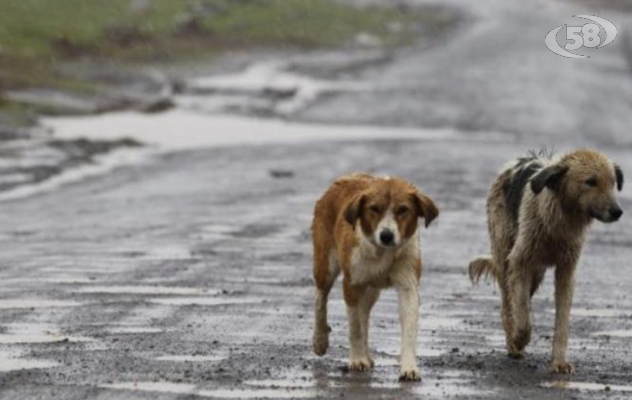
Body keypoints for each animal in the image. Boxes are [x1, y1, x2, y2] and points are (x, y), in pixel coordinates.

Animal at [312, 173, 440, 380]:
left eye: (403, 210)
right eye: (374, 209)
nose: (386, 235)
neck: (383, 253)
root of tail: (346, 177)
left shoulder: (408, 286)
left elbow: (409, 329)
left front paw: (409, 367)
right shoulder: (352, 284)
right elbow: (355, 327)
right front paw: (357, 360)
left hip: (371, 290)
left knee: (364, 314)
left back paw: (367, 354)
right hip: (326, 267)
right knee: (320, 299)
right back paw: (320, 340)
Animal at [470, 148, 624, 374]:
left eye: (613, 182)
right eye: (591, 181)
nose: (617, 211)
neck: (560, 222)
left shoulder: (566, 270)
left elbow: (562, 321)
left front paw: (559, 361)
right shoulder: (519, 262)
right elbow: (522, 314)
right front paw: (519, 338)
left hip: (537, 273)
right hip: (506, 256)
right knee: (508, 305)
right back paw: (513, 344)